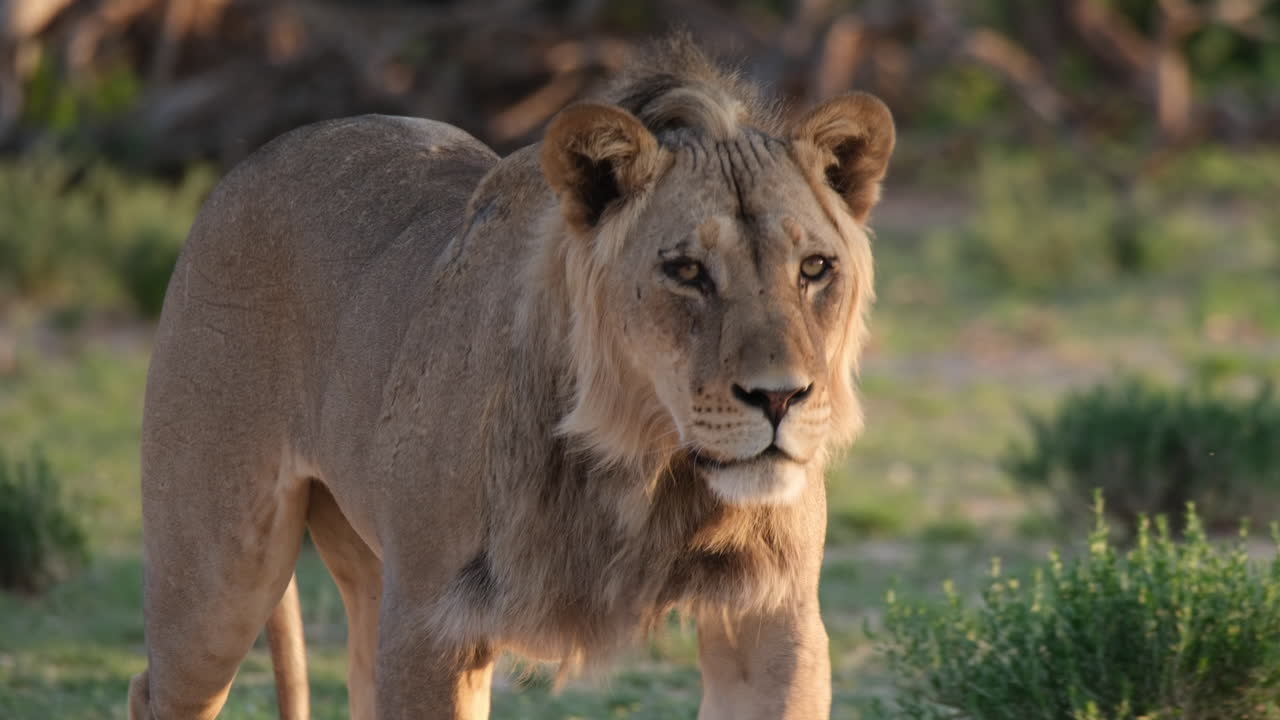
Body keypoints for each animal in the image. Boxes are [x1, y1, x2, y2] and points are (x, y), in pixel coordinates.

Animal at [128, 38, 893, 720]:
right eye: (686, 271)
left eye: (815, 269)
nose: (781, 397)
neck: (644, 464)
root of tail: (253, 159)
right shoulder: (433, 627)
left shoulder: (773, 618)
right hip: (219, 580)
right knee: (156, 688)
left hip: (371, 577)